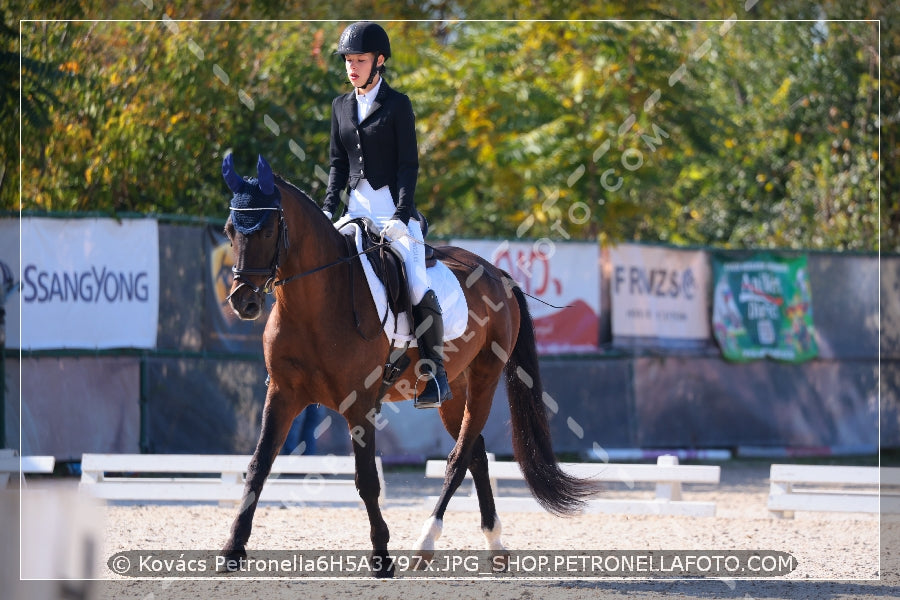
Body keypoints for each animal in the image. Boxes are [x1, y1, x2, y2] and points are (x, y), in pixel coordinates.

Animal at [218, 154, 596, 576]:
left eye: (268, 231)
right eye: (230, 230)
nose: (243, 302)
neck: (315, 303)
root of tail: (496, 273)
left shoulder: (359, 404)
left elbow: (367, 479)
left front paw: (382, 557)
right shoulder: (282, 394)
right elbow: (258, 466)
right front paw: (233, 549)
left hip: (485, 376)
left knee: (459, 458)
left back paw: (425, 543)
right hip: (453, 389)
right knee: (477, 453)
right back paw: (495, 544)